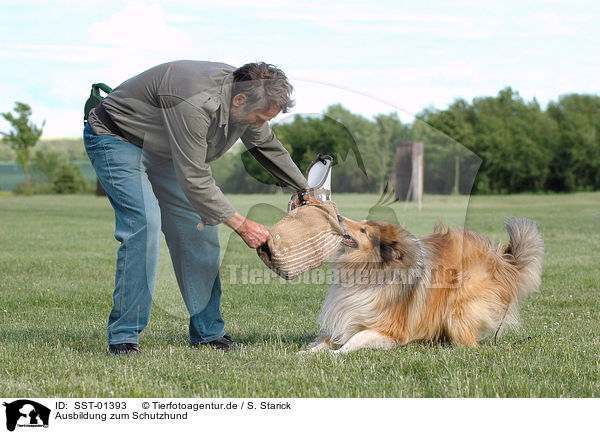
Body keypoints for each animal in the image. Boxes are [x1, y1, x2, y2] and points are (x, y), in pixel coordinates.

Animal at [302, 217, 548, 352]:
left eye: (363, 230)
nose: (338, 216)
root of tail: (503, 260)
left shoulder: (389, 330)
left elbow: (355, 340)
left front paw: (336, 354)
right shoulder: (350, 319)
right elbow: (326, 341)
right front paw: (307, 353)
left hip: (459, 306)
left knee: (469, 342)